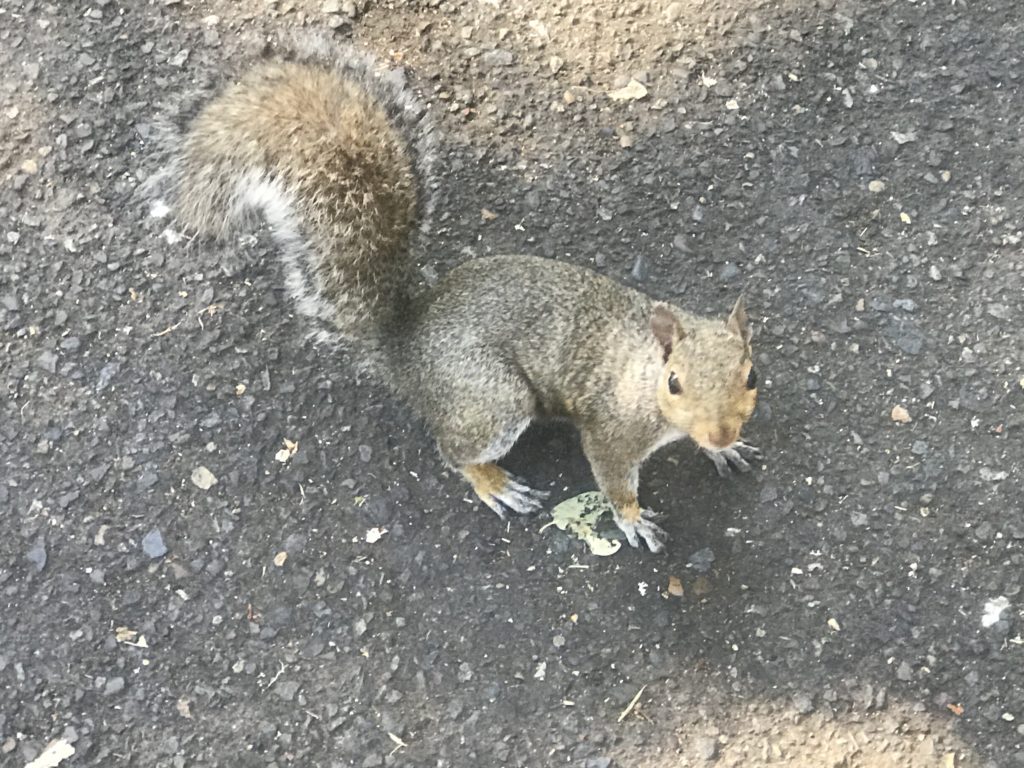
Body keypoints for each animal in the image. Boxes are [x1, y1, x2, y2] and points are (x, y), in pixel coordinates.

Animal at [153, 45, 761, 552]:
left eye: (751, 375)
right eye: (674, 383)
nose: (722, 430)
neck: (644, 370)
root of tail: (405, 344)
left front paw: (723, 449)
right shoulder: (611, 430)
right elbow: (613, 478)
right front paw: (633, 519)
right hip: (493, 399)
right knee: (455, 452)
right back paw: (493, 483)